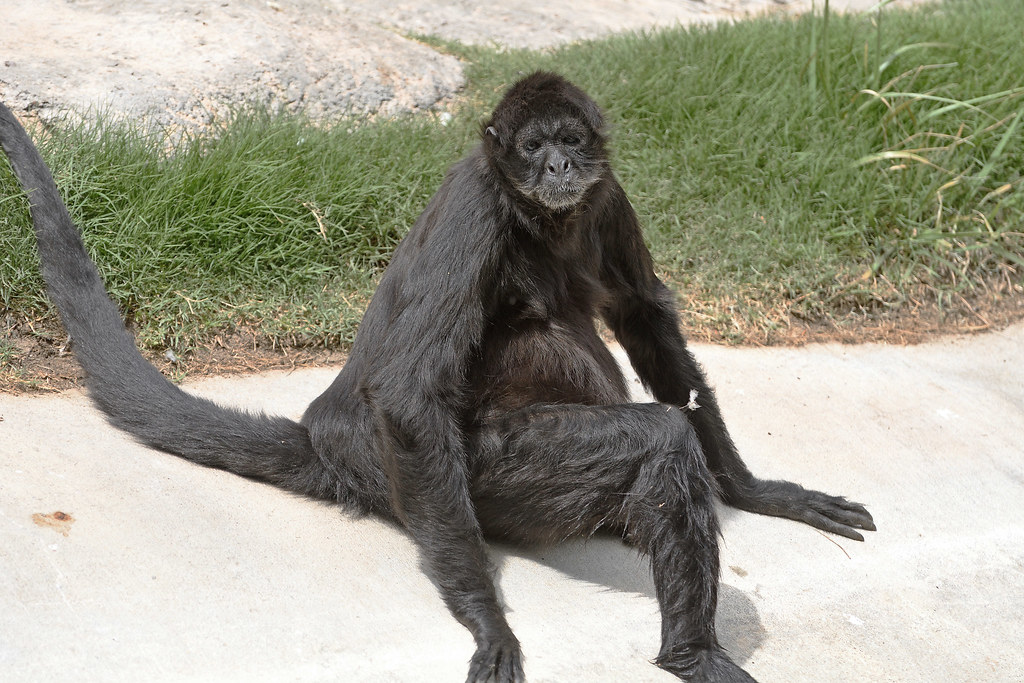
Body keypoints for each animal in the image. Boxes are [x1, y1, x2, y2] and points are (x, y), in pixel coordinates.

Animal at [0, 72, 874, 682]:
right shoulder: (476, 206)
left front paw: (757, 491)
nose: (560, 162)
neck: (541, 218)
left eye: (571, 140)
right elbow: (410, 391)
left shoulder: (606, 194)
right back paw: (689, 651)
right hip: (487, 473)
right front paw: (490, 622)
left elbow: (642, 315)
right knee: (654, 437)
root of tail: (334, 437)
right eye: (532, 148)